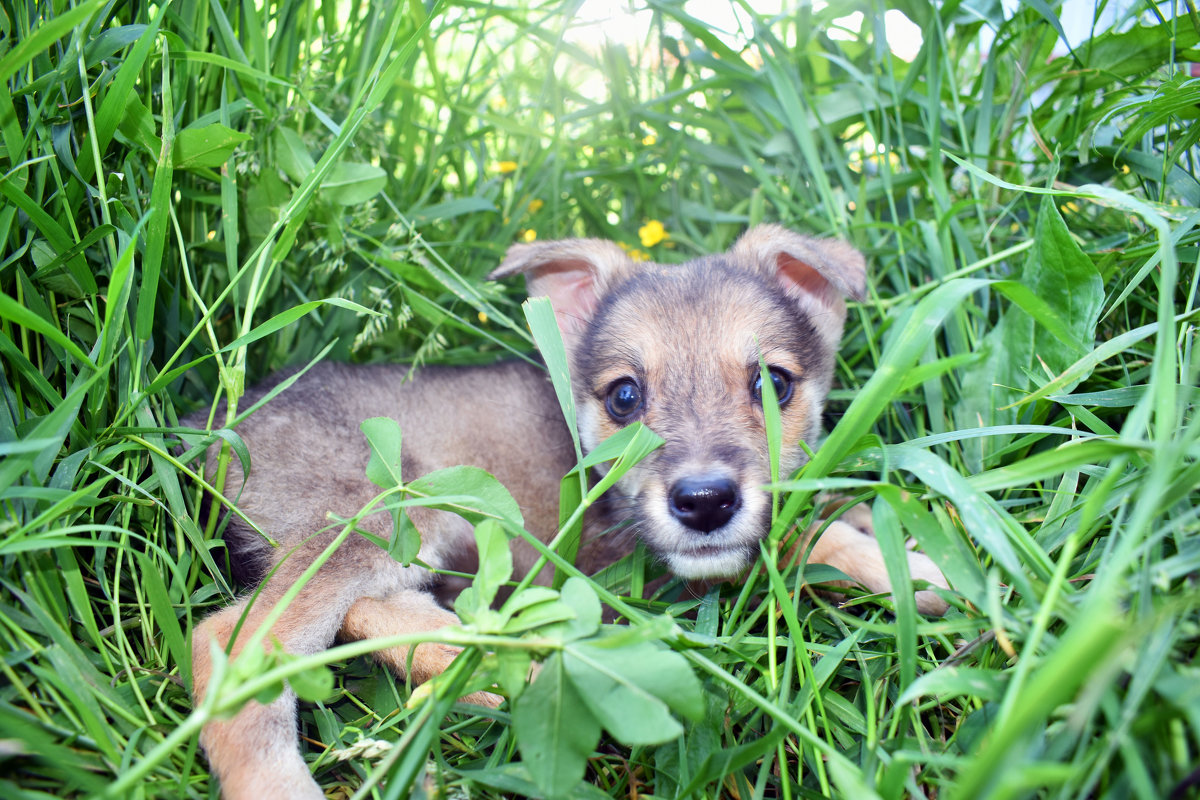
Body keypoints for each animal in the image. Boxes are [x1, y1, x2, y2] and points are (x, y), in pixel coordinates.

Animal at [187, 225, 945, 800]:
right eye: (624, 397)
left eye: (772, 383)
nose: (704, 503)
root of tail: (212, 421)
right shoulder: (643, 568)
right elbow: (807, 540)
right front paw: (914, 571)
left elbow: (827, 503)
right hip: (379, 519)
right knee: (230, 639)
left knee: (366, 610)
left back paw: (492, 661)